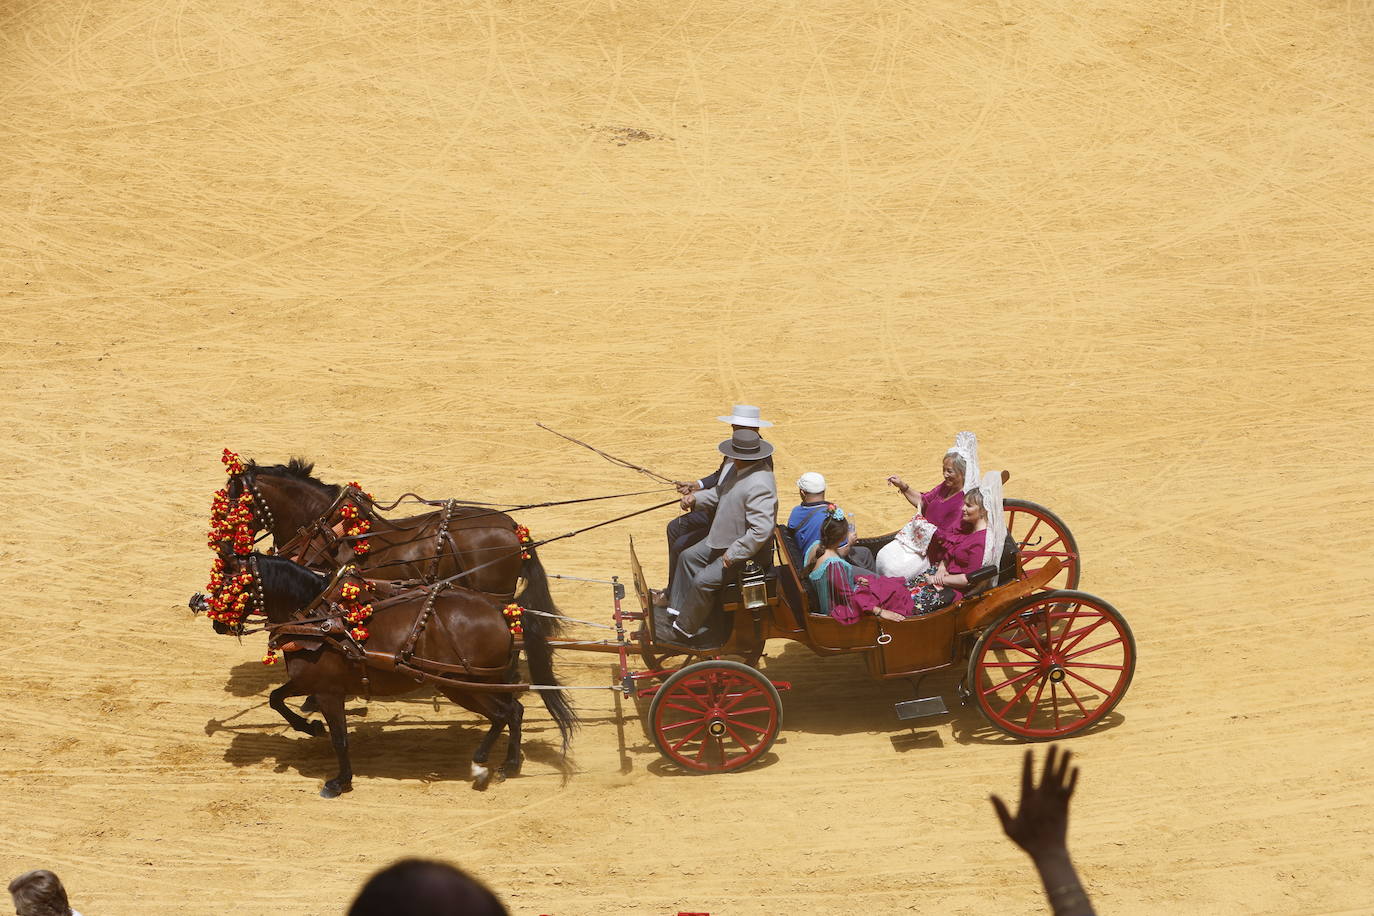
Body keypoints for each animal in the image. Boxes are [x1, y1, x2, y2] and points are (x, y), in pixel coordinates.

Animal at [211, 554, 577, 796]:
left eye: (230, 584)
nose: (216, 623)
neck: (318, 620)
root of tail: (502, 610)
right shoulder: (308, 681)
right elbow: (276, 698)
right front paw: (309, 727)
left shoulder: (329, 691)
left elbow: (340, 738)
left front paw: (340, 781)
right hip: (482, 682)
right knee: (515, 711)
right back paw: (508, 764)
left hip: (465, 685)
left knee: (504, 713)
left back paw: (483, 762)